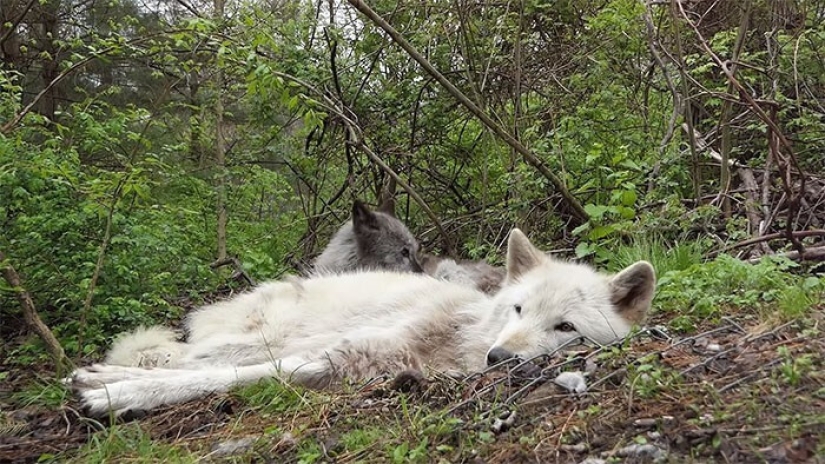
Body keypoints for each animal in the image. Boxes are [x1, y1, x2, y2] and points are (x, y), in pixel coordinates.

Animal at [72, 229, 655, 416]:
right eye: (518, 310)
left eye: (566, 328)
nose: (499, 358)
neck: (458, 339)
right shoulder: (342, 350)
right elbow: (223, 378)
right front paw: (114, 391)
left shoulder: (352, 362)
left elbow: (236, 379)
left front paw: (115, 391)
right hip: (262, 334)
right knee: (193, 358)